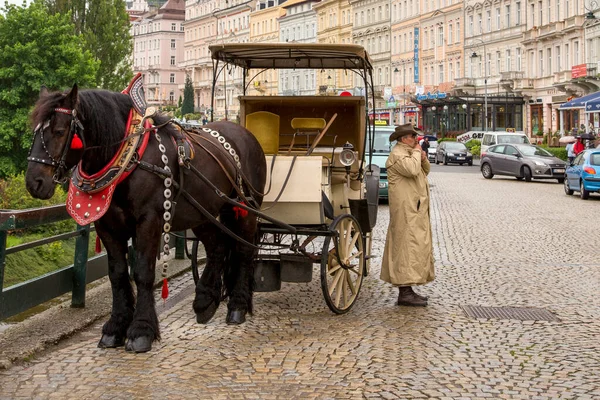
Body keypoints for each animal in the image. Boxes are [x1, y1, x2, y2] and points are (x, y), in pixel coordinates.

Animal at [25, 83, 264, 350]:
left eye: (58, 131)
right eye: (34, 131)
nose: (34, 182)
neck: (129, 160)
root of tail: (242, 132)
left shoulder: (149, 221)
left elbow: (142, 272)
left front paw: (141, 330)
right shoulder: (107, 226)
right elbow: (118, 274)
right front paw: (115, 327)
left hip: (245, 209)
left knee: (244, 251)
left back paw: (237, 306)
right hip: (203, 212)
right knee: (218, 247)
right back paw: (205, 300)